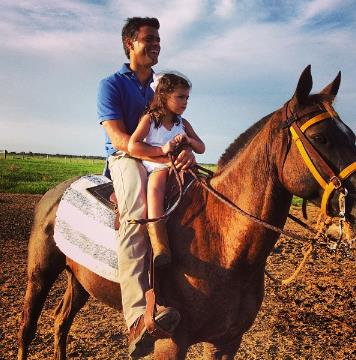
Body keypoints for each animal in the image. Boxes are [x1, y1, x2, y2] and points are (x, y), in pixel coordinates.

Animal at [18, 66, 354, 358]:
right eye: (320, 137)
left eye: (350, 135)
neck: (223, 243)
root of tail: (55, 192)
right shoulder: (170, 345)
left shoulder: (226, 341)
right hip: (40, 274)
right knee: (28, 327)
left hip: (80, 279)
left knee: (61, 321)